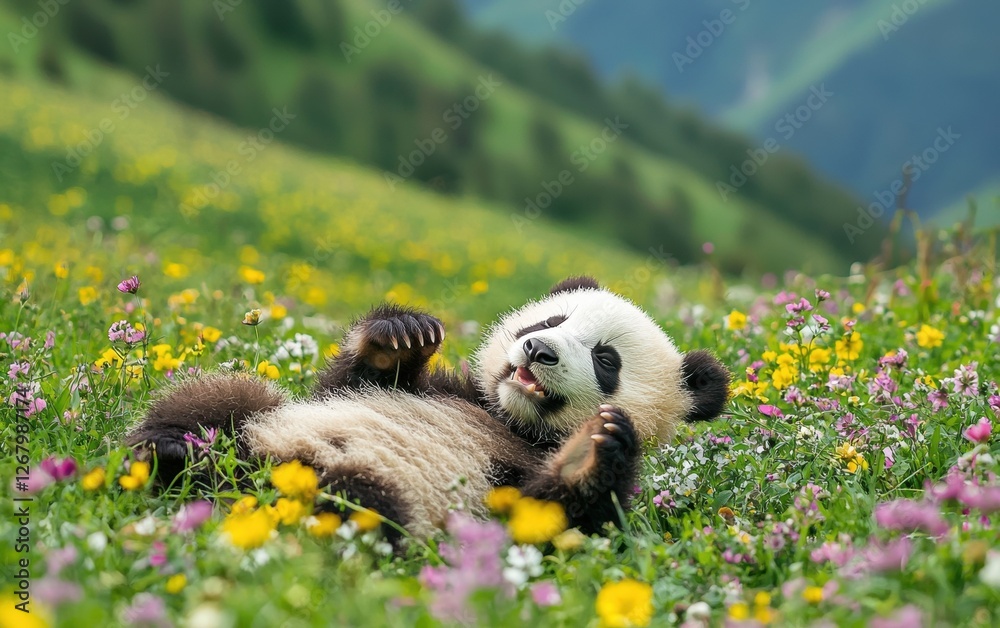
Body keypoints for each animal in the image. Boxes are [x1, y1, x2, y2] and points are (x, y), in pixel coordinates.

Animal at [126, 276, 729, 539]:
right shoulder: (447, 392)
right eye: (550, 321)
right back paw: (168, 451)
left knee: (364, 505)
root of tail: (250, 476)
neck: (511, 421)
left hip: (382, 491)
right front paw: (399, 335)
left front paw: (592, 451)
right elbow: (349, 385)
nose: (539, 350)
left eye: (607, 360)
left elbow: (554, 520)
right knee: (225, 400)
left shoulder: (509, 479)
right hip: (261, 419)